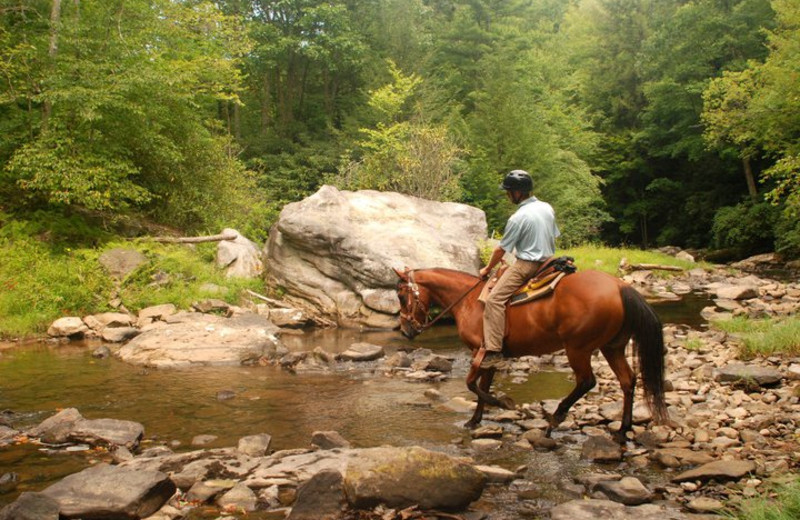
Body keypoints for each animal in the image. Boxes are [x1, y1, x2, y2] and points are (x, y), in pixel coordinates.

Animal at [396, 266, 668, 440]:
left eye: (400, 295)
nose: (405, 330)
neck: (470, 300)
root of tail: (620, 286)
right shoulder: (492, 356)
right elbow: (482, 386)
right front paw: (475, 420)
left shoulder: (479, 351)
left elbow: (472, 384)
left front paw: (502, 403)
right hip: (612, 347)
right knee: (627, 380)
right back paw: (622, 430)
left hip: (578, 348)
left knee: (587, 381)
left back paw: (556, 418)